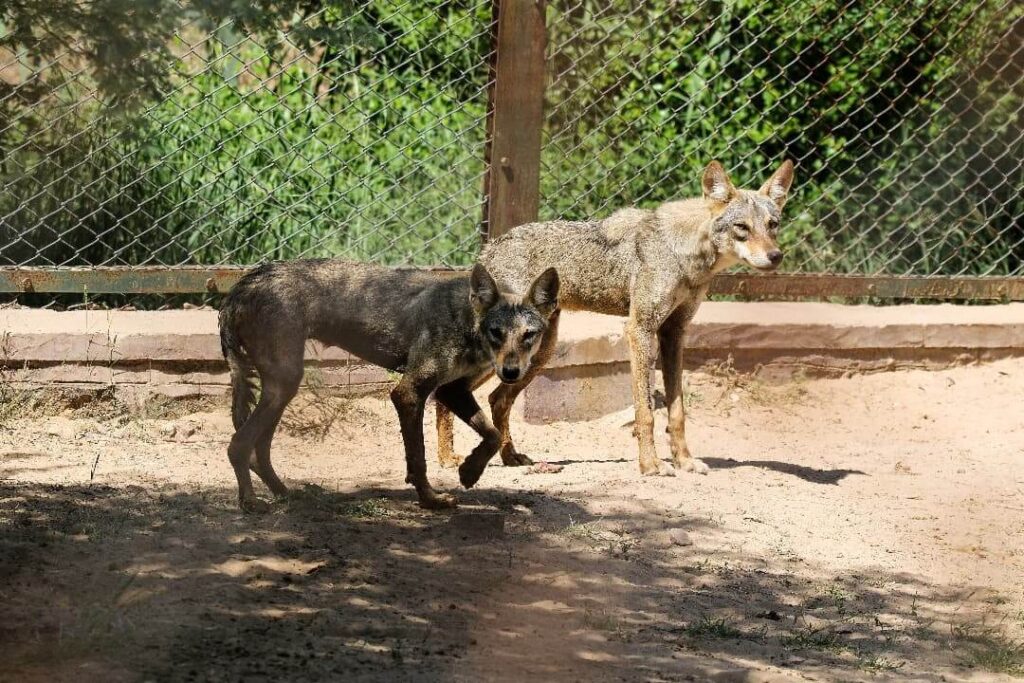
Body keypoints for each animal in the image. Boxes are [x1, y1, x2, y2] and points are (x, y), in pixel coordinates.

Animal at [220, 259, 561, 509]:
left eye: (529, 335)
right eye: (496, 332)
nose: (511, 372)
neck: (467, 320)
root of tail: (243, 284)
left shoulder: (451, 390)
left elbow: (492, 434)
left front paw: (469, 472)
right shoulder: (409, 392)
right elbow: (419, 458)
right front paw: (431, 500)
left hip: (281, 388)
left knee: (258, 450)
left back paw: (283, 493)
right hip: (284, 383)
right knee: (238, 445)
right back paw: (250, 502)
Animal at [436, 160, 794, 479]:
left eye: (773, 225)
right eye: (742, 228)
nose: (775, 256)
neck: (682, 255)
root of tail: (488, 248)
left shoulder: (674, 334)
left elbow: (677, 412)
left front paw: (685, 462)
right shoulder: (640, 330)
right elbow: (646, 412)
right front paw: (651, 466)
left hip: (536, 354)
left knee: (495, 399)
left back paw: (507, 457)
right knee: (451, 392)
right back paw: (448, 459)